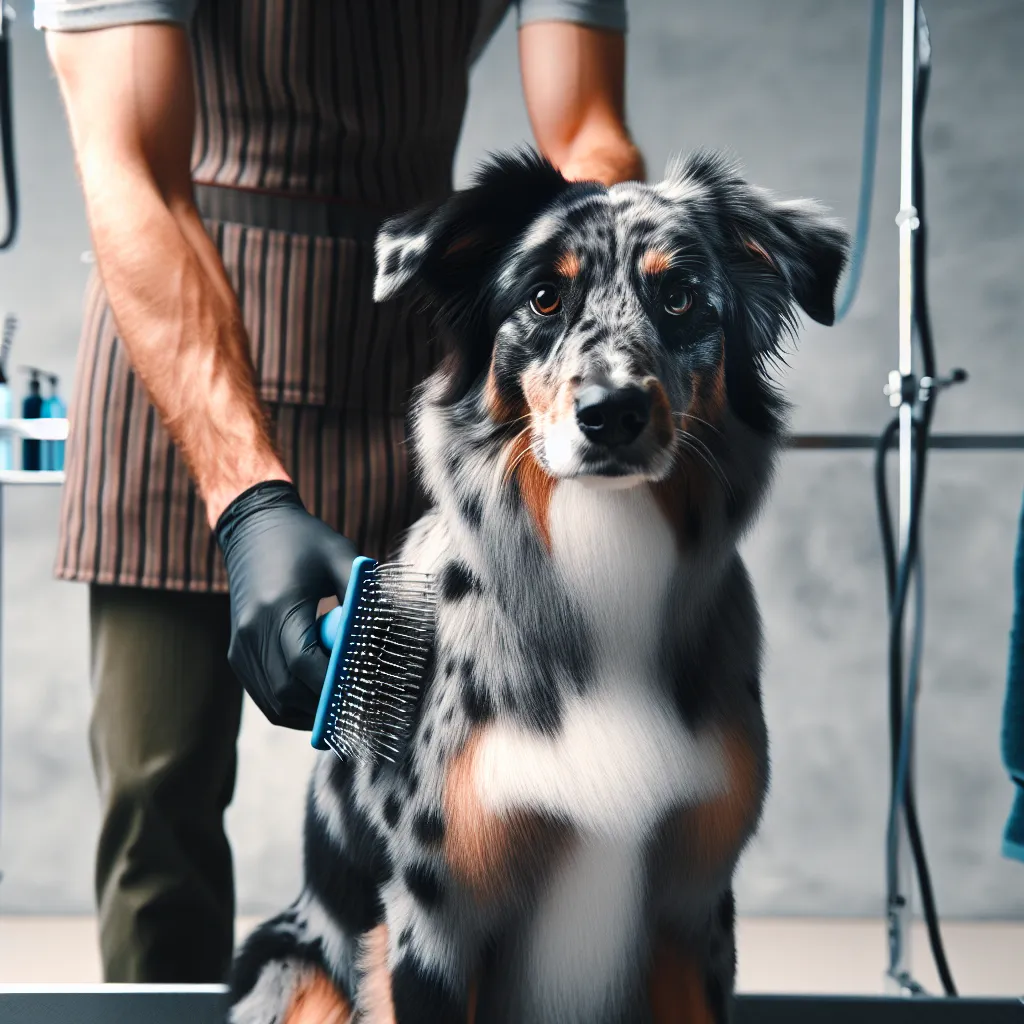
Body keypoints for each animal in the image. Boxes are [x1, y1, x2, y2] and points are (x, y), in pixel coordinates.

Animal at [230, 146, 847, 1024]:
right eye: (544, 297)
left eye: (680, 296)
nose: (612, 413)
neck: (603, 559)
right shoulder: (435, 922)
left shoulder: (695, 915)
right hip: (295, 963)